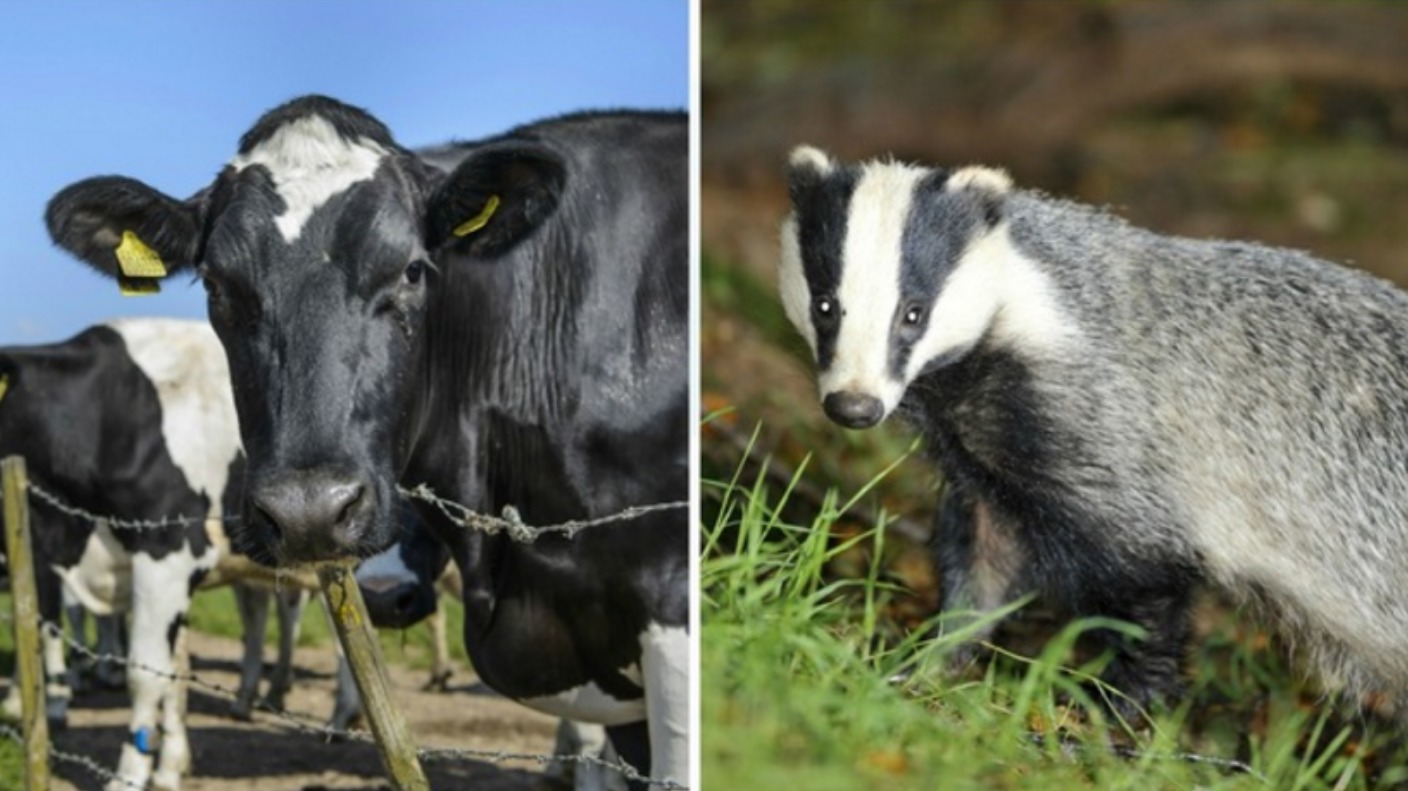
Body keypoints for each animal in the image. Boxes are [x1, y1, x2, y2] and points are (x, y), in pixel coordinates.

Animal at [0, 316, 360, 788]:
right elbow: (171, 674)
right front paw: (169, 768)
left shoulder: (166, 558)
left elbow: (144, 675)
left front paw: (129, 775)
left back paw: (340, 720)